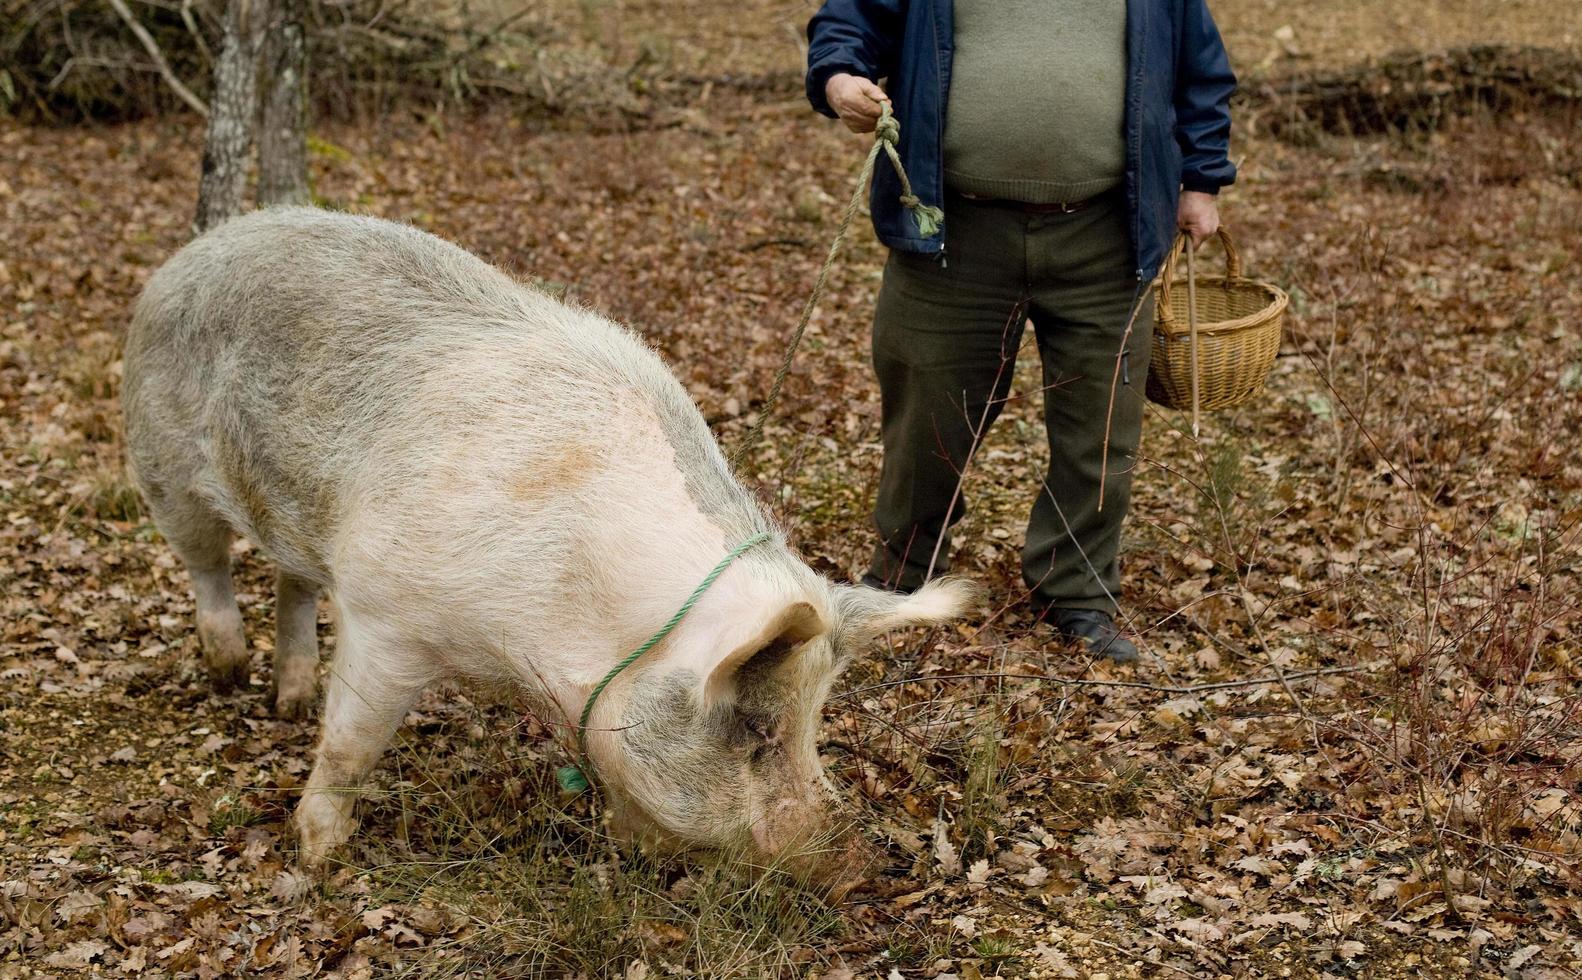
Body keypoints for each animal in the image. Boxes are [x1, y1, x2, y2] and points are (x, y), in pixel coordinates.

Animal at [123, 207, 968, 880]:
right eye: (757, 728)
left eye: (816, 724)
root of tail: (203, 244)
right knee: (209, 566)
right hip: (163, 466)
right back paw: (229, 674)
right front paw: (320, 859)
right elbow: (352, 744)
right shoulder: (387, 612)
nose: (856, 869)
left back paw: (290, 699)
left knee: (291, 581)